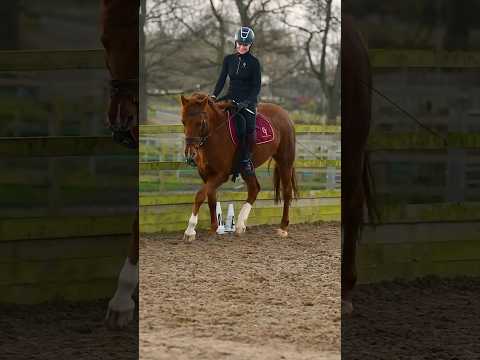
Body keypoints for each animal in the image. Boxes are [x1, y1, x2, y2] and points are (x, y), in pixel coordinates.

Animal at [182, 93, 298, 240]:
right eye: (183, 122)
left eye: (201, 123)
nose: (190, 153)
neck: (215, 133)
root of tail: (284, 114)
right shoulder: (205, 173)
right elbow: (211, 197)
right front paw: (213, 228)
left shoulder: (221, 175)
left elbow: (200, 195)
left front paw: (190, 230)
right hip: (247, 168)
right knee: (254, 188)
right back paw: (240, 225)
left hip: (285, 161)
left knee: (287, 191)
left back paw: (283, 228)